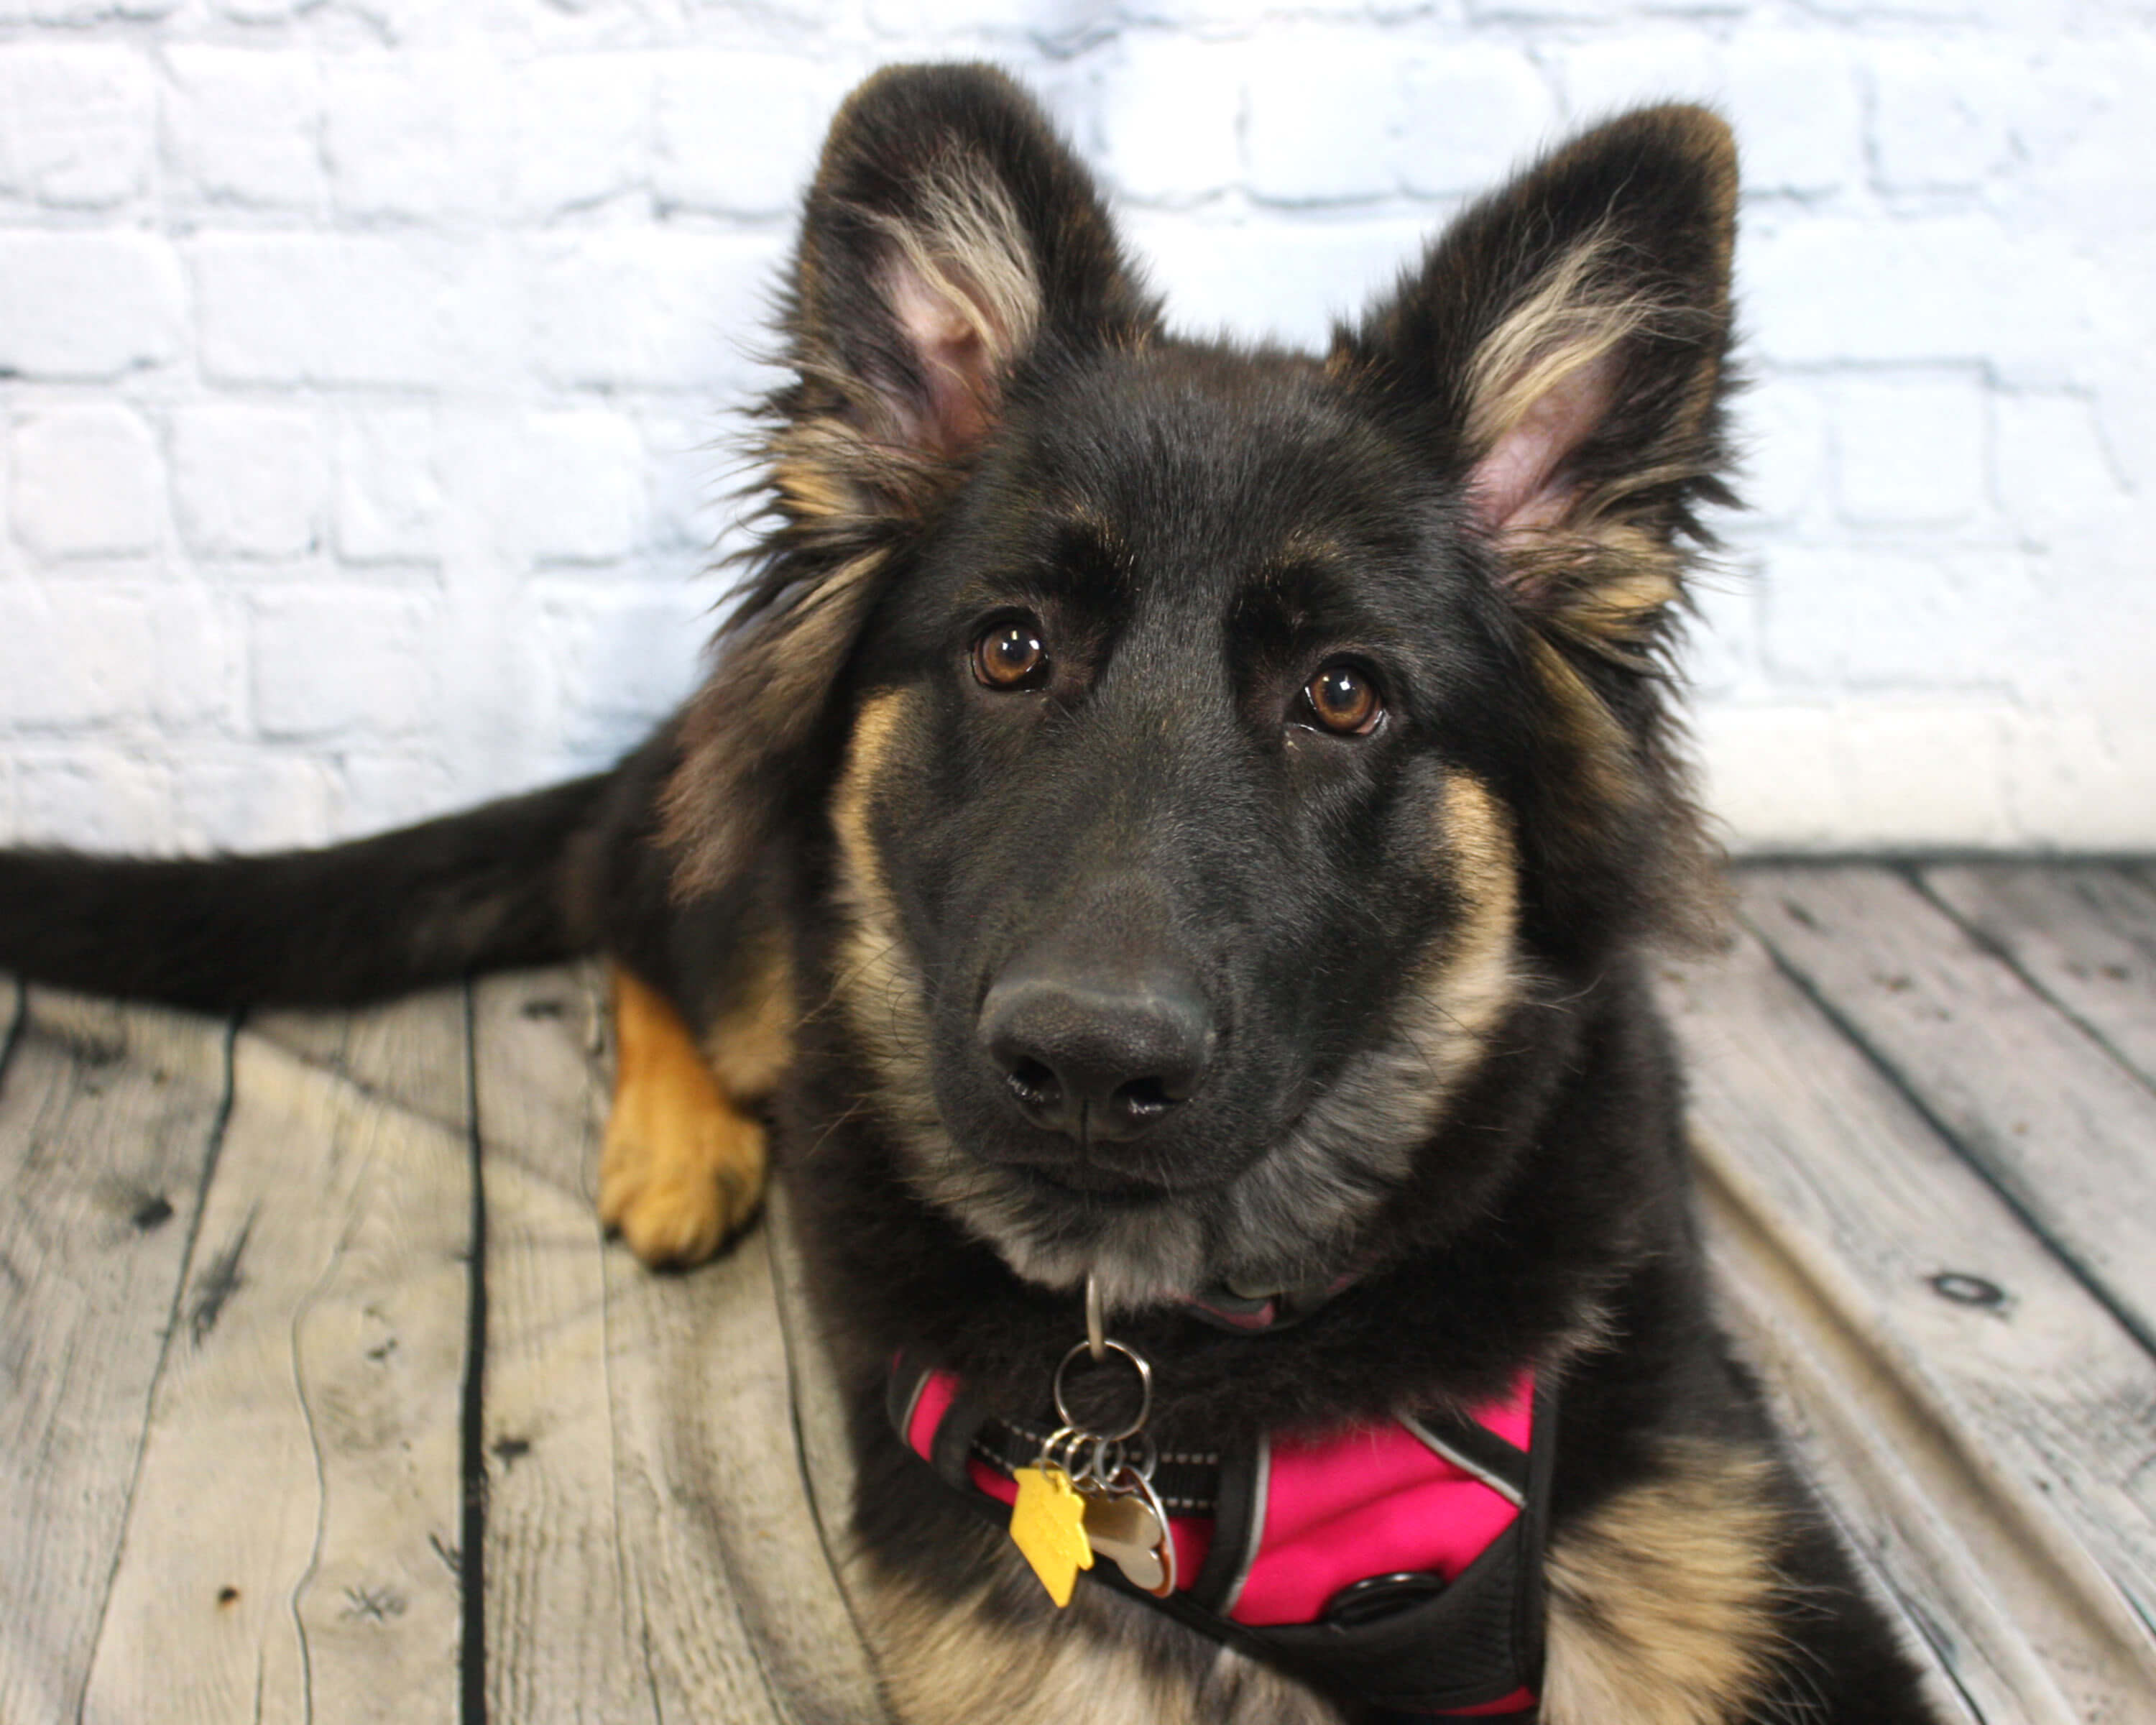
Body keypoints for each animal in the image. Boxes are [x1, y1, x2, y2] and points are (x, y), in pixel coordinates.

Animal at [4, 64, 1940, 1725]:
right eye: (1011, 648)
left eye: (1343, 693)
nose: (1085, 1061)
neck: (1178, 1363)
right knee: (627, 893)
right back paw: (676, 1143)